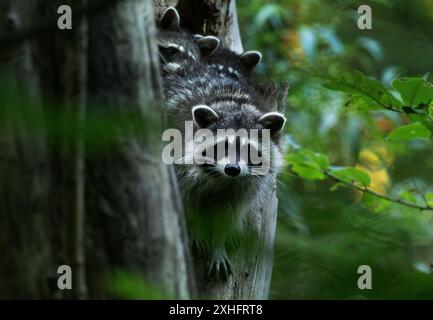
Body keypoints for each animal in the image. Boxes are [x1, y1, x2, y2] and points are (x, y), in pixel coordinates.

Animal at [161, 62, 284, 278]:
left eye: (248, 149)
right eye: (223, 146)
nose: (232, 168)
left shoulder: (245, 186)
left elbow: (228, 214)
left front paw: (218, 245)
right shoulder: (180, 164)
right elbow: (186, 201)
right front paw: (196, 228)